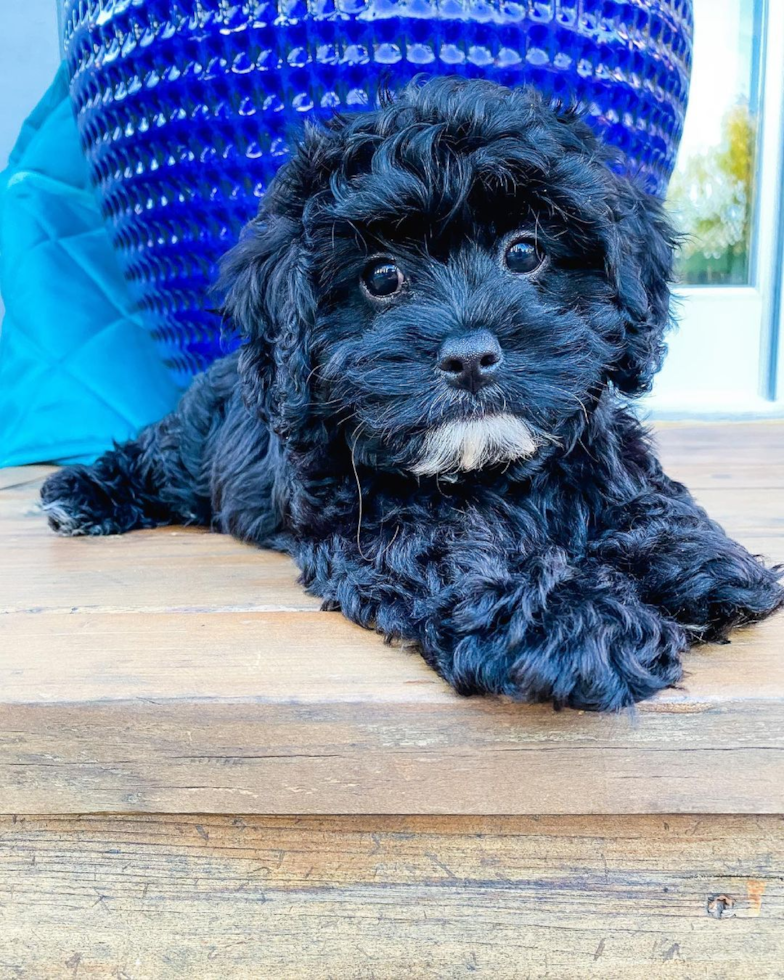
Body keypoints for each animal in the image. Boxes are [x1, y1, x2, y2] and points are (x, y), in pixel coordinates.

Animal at [41, 76, 784, 704]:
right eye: (381, 277)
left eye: (524, 251)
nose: (470, 355)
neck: (490, 469)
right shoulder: (370, 520)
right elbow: (459, 555)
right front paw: (581, 620)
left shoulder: (595, 447)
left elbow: (642, 495)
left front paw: (694, 561)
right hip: (193, 446)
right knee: (156, 458)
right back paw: (81, 493)